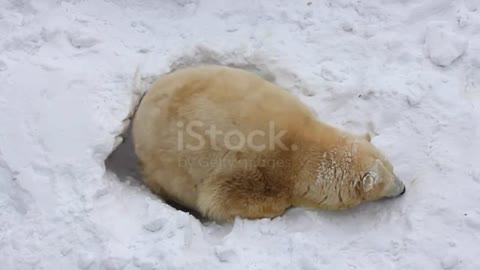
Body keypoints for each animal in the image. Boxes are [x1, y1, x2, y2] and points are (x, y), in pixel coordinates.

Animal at [131, 65, 404, 221]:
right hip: (162, 163)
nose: (402, 189)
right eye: (386, 180)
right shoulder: (252, 170)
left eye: (392, 167)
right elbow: (220, 200)